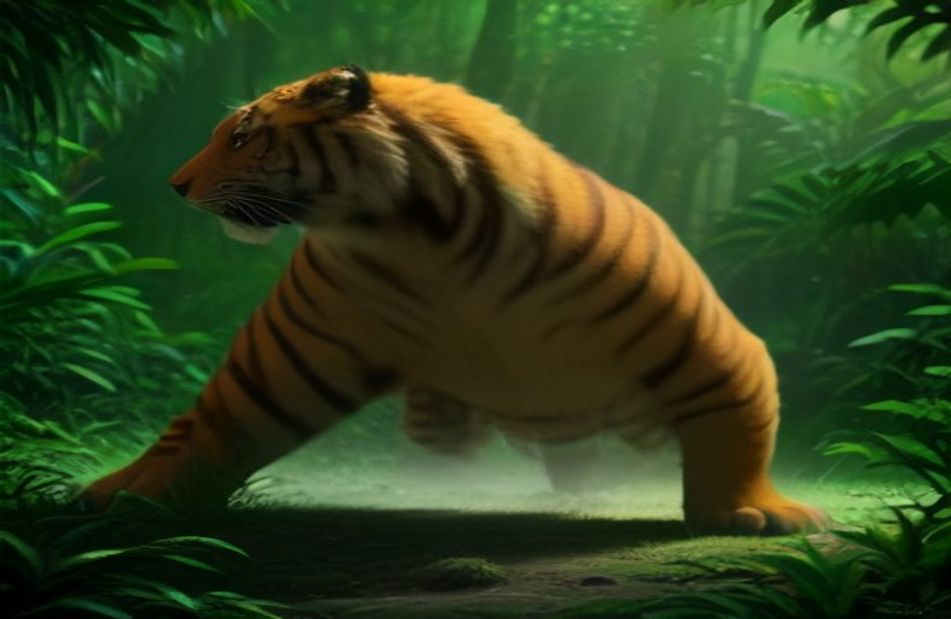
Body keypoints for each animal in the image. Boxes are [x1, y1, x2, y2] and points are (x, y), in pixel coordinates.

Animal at [83, 65, 827, 535]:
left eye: (240, 136)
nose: (175, 184)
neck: (422, 241)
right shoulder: (292, 353)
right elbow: (219, 422)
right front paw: (148, 499)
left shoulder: (712, 347)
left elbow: (736, 427)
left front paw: (752, 511)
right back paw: (105, 486)